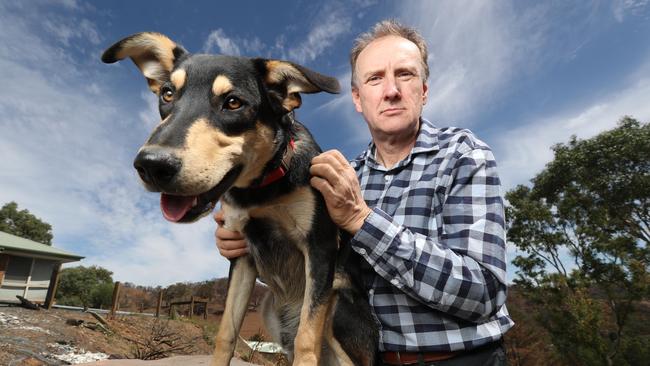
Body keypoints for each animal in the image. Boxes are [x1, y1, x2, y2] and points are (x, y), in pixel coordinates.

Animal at [100, 33, 374, 364]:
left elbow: (306, 341)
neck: (261, 190)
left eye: (233, 102)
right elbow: (226, 333)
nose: (151, 165)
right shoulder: (243, 256)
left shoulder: (319, 248)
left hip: (338, 309)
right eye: (167, 94)